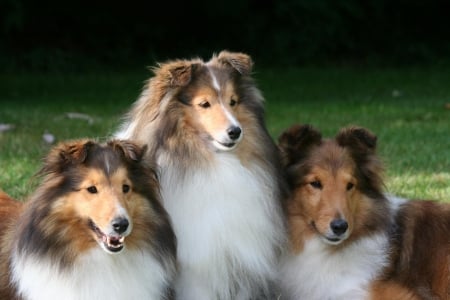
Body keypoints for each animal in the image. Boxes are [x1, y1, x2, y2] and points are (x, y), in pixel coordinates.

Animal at [115, 50, 284, 298]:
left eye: (233, 101)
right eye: (204, 104)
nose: (235, 132)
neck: (214, 162)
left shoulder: (238, 261)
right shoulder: (197, 267)